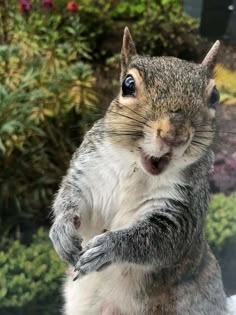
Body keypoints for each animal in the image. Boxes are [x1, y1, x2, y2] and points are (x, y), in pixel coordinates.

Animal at [49, 27, 234, 315]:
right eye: (127, 84)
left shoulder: (183, 205)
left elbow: (162, 240)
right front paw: (62, 229)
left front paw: (110, 246)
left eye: (214, 96)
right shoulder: (88, 171)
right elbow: (71, 197)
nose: (174, 134)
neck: (136, 169)